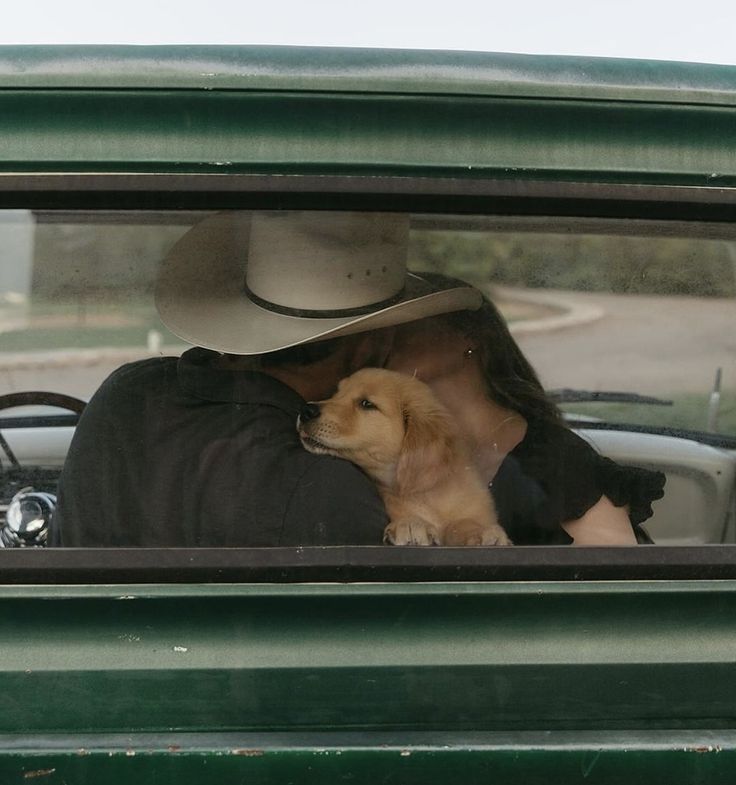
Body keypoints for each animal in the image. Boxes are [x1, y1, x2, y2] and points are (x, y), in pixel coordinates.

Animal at [296, 368, 508, 544]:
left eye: (366, 404)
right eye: (336, 393)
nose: (306, 410)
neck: (426, 496)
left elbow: (464, 522)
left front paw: (480, 531)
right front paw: (411, 523)